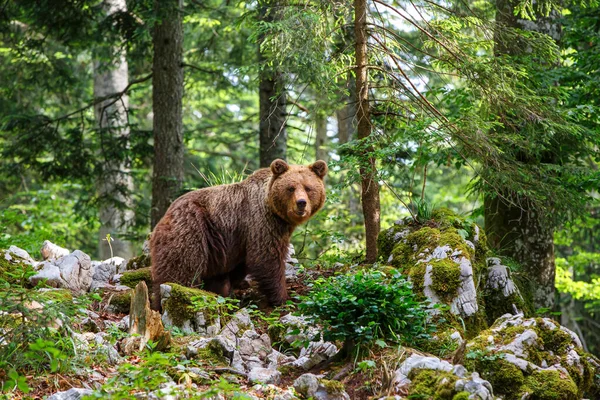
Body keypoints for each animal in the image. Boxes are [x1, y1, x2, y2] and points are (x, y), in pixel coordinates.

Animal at [150, 159, 328, 310]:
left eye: (308, 188)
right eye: (290, 188)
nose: (301, 203)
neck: (276, 213)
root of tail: (165, 215)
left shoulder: (243, 237)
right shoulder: (261, 222)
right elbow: (267, 258)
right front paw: (282, 297)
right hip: (191, 228)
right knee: (180, 268)